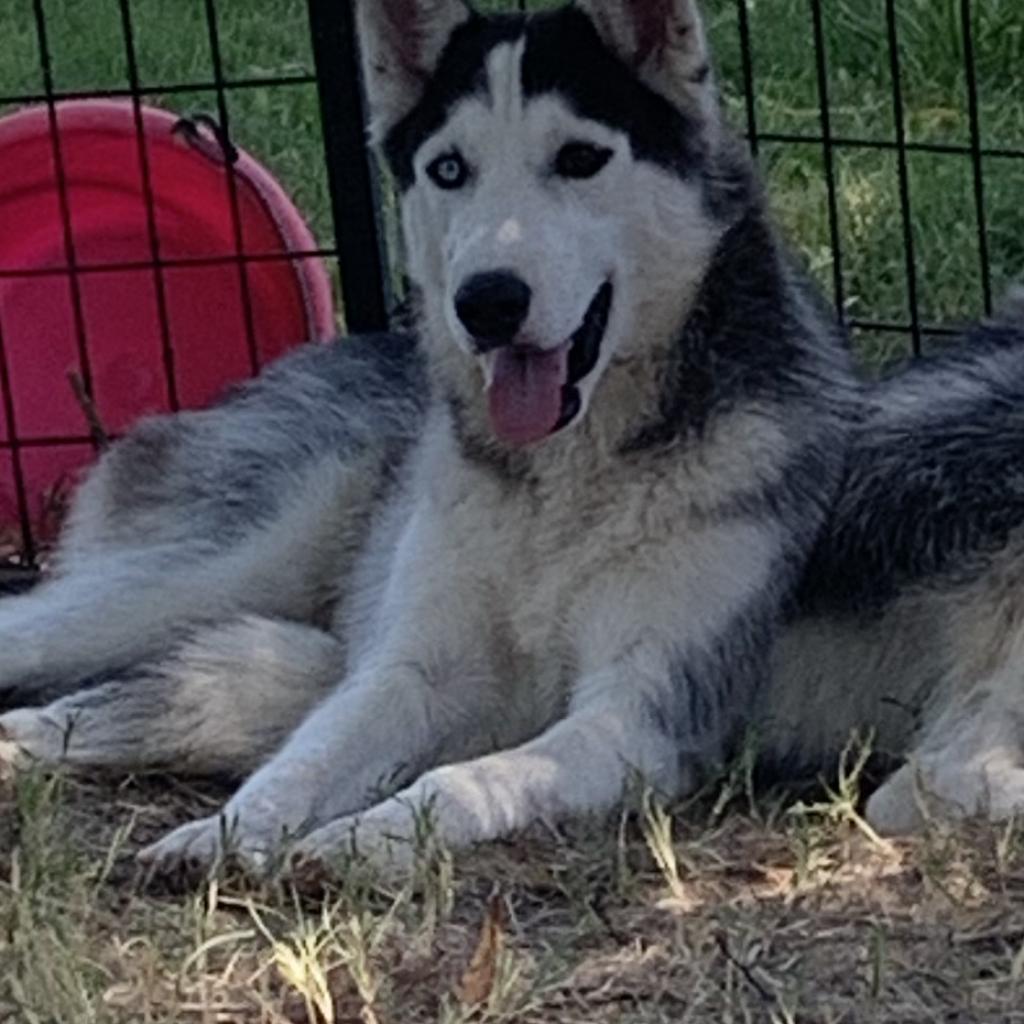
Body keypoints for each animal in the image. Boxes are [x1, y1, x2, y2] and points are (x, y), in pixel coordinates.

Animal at [2, 0, 1024, 872]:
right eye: (449, 169)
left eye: (580, 159)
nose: (487, 303)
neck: (562, 488)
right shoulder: (408, 671)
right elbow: (308, 760)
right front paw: (226, 835)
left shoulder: (638, 714)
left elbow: (465, 780)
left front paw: (357, 841)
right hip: (194, 577)